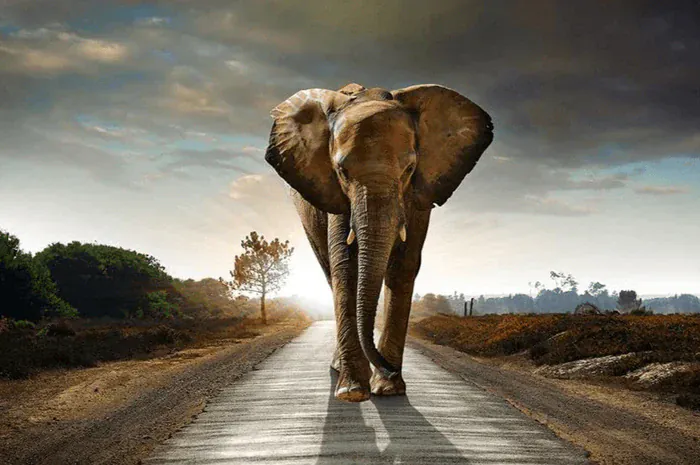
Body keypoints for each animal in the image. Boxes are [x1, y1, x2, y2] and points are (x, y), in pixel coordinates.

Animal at [264, 82, 493, 402]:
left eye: (409, 169)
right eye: (342, 171)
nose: (387, 368)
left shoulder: (419, 194)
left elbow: (403, 266)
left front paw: (388, 389)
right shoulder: (335, 195)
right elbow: (346, 266)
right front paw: (352, 392)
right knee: (329, 271)